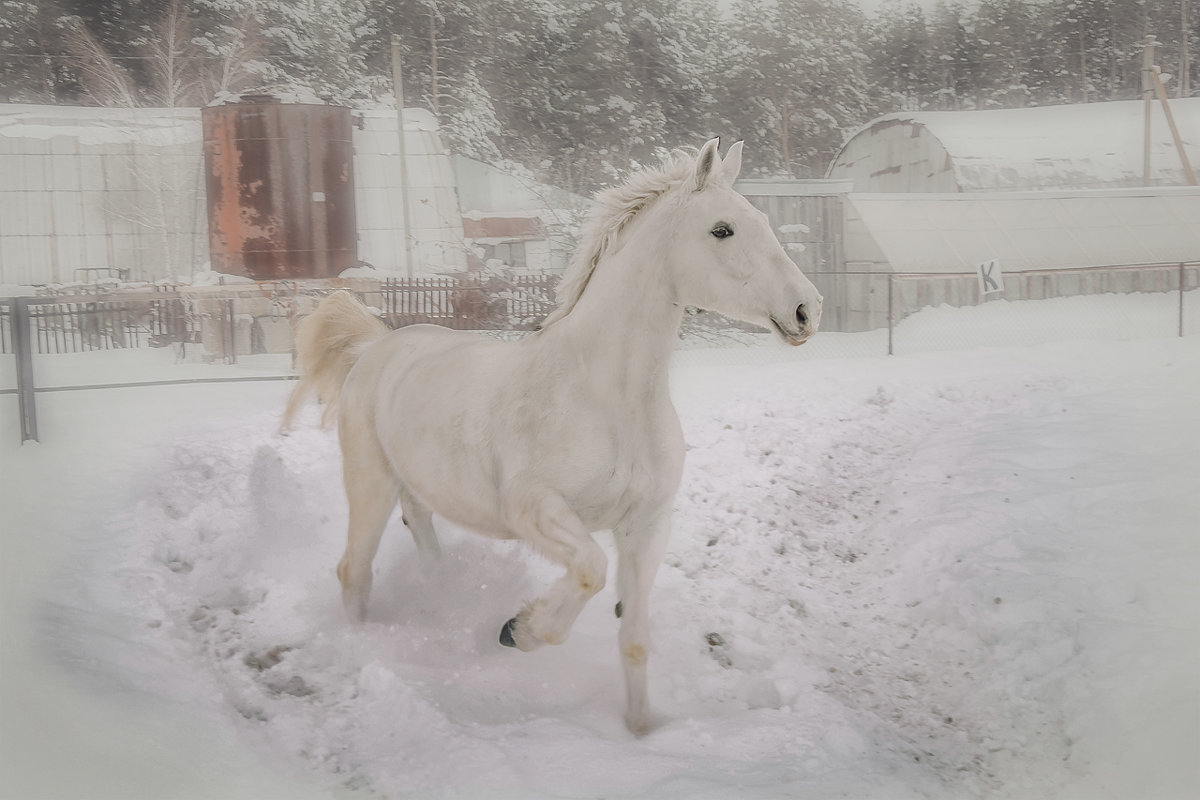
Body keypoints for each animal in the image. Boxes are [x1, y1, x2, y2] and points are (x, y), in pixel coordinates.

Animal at [283, 140, 816, 734]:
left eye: (762, 220)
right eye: (722, 229)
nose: (806, 310)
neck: (607, 398)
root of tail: (377, 346)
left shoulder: (647, 526)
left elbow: (634, 639)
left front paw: (642, 728)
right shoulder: (533, 509)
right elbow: (590, 572)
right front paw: (520, 630)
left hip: (416, 487)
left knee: (420, 535)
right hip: (369, 484)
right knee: (353, 572)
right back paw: (360, 649)